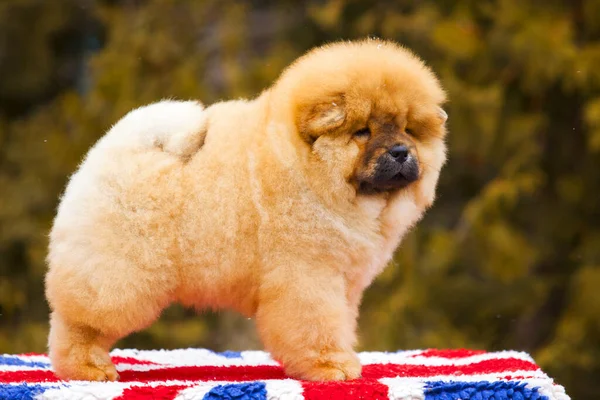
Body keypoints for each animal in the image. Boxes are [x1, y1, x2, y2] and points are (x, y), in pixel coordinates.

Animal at [45, 39, 446, 382]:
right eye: (363, 132)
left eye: (408, 130)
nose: (400, 152)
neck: (307, 173)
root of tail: (110, 150)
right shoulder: (308, 275)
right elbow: (317, 325)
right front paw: (331, 366)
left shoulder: (343, 282)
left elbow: (340, 324)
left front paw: (341, 359)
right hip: (120, 276)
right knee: (80, 323)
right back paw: (87, 368)